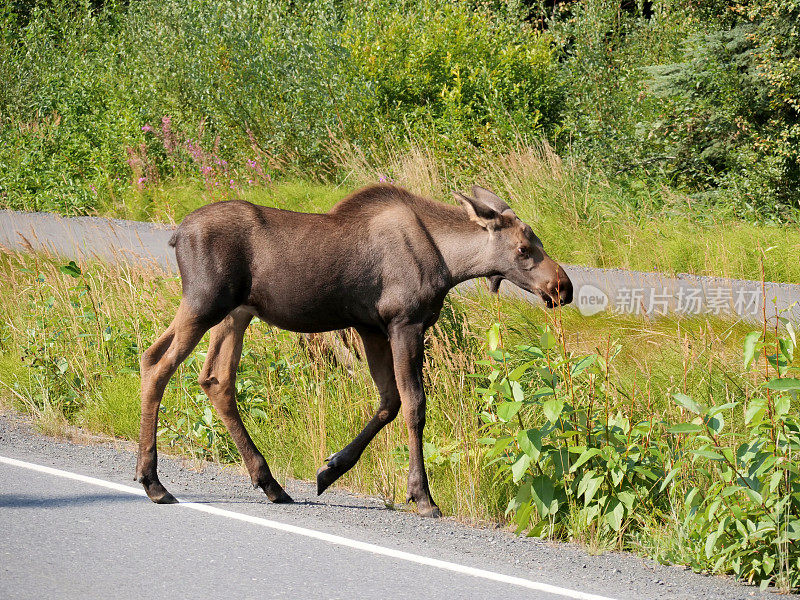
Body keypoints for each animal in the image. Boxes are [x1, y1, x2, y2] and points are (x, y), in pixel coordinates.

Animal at [139, 184, 576, 516]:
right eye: (523, 248)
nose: (563, 287)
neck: (451, 264)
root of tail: (177, 235)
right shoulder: (404, 322)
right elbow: (414, 405)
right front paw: (422, 496)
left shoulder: (371, 327)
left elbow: (389, 402)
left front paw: (330, 469)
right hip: (205, 303)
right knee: (158, 364)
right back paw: (154, 482)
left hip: (235, 313)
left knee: (212, 378)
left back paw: (270, 483)